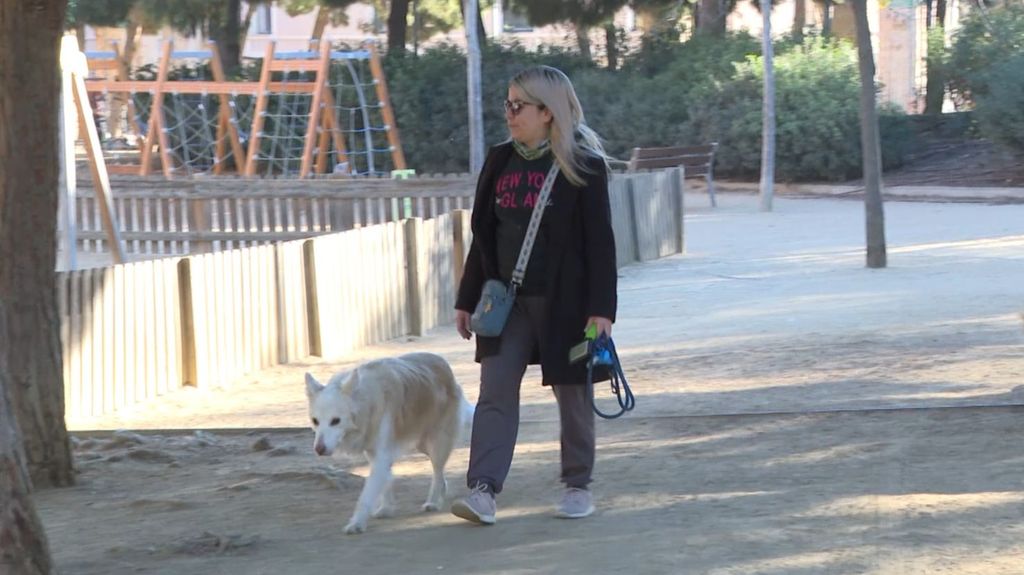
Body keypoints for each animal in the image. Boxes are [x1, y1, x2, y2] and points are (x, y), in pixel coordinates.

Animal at [301, 349, 473, 532]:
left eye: (335, 421)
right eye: (315, 421)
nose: (319, 449)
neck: (366, 400)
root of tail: (443, 364)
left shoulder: (381, 456)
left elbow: (367, 495)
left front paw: (356, 524)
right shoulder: (375, 454)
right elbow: (387, 481)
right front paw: (386, 509)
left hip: (437, 443)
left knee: (438, 471)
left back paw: (433, 502)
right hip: (422, 444)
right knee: (439, 473)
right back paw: (442, 491)